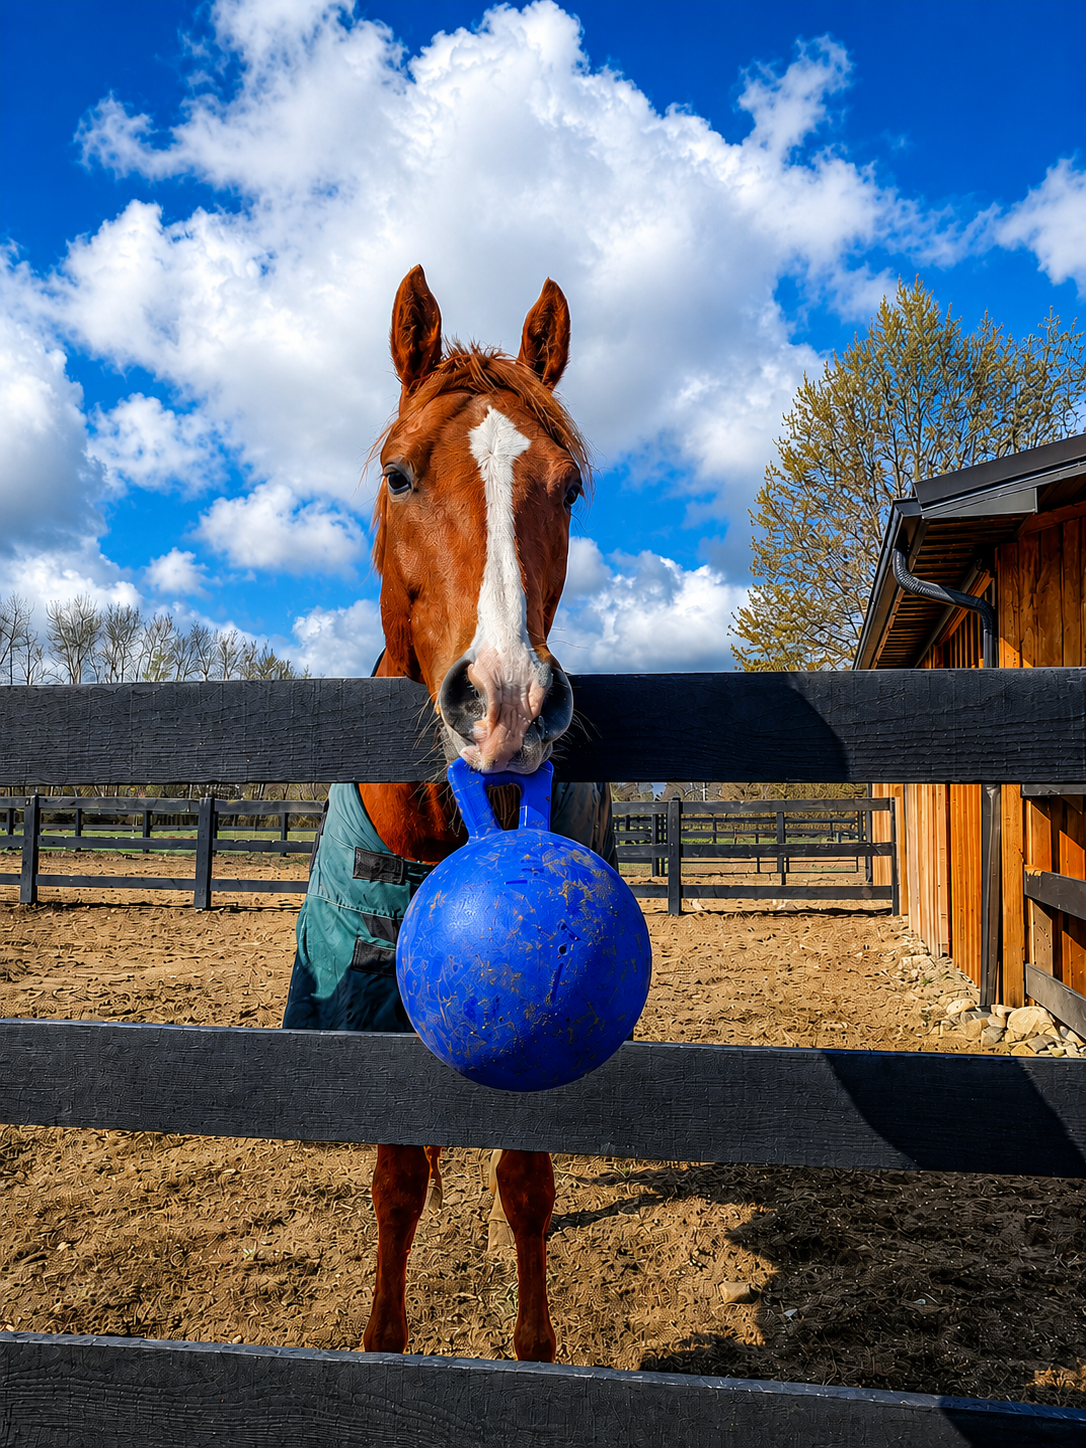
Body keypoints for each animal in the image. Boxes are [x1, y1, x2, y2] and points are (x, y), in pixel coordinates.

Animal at [284, 265, 610, 1363]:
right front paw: (384, 1340)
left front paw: (534, 1348)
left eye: (570, 486)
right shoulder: (364, 997)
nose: (507, 698)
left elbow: (526, 1183)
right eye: (398, 475)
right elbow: (394, 1182)